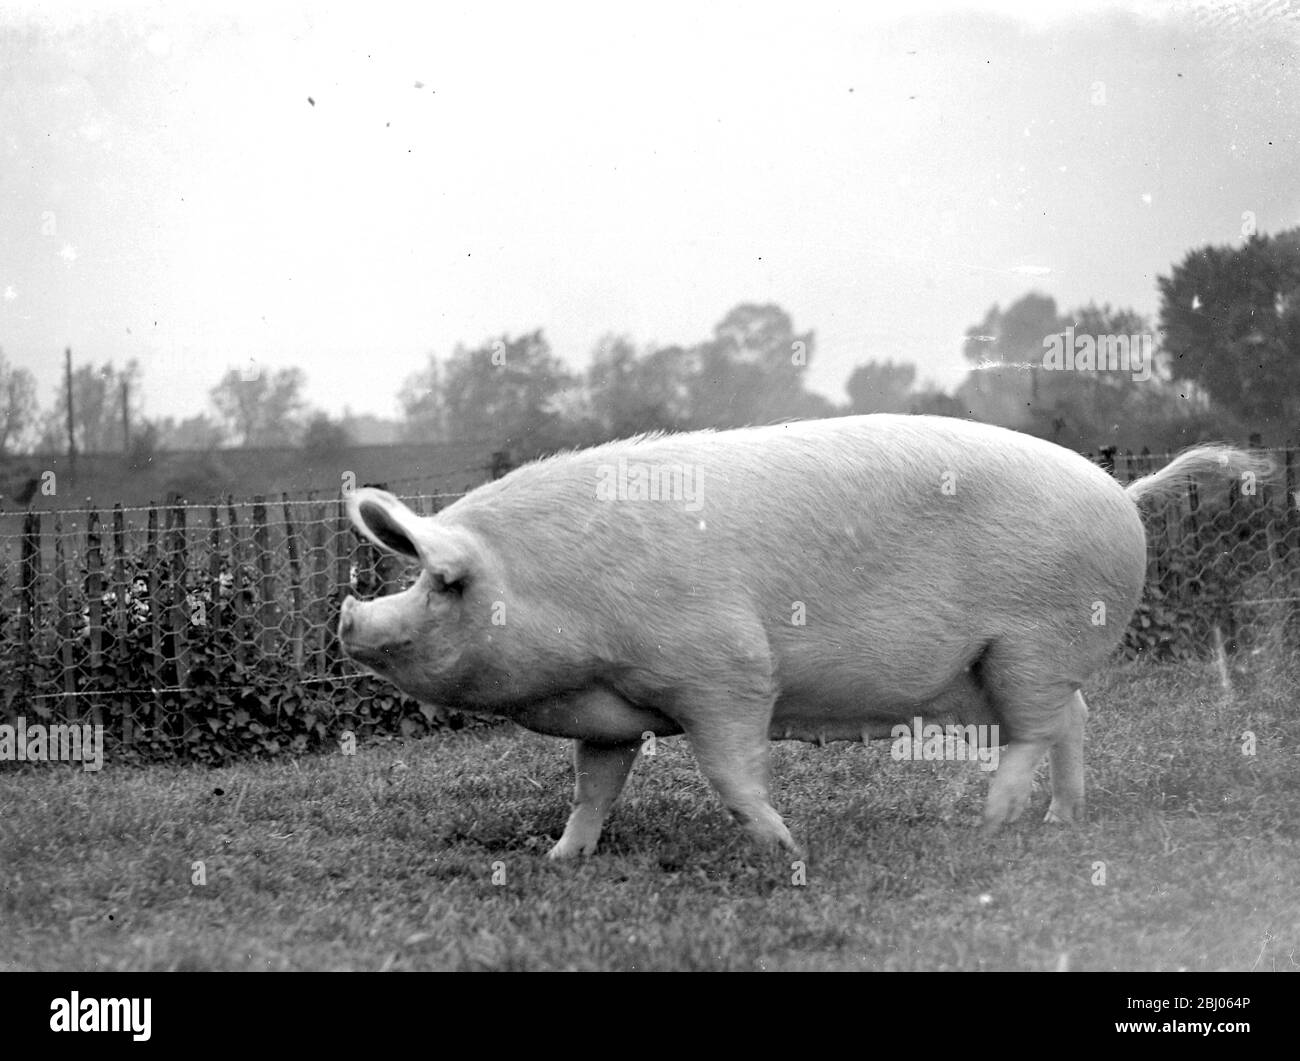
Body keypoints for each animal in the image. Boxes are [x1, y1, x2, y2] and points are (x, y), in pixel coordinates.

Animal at [338, 414, 1268, 859]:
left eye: (445, 583)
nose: (349, 616)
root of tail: (1126, 492)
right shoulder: (616, 709)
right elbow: (594, 786)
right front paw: (559, 857)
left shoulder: (727, 668)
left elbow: (730, 769)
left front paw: (786, 847)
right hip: (1019, 665)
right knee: (1073, 721)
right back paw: (1058, 824)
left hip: (1030, 644)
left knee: (1039, 729)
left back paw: (990, 822)